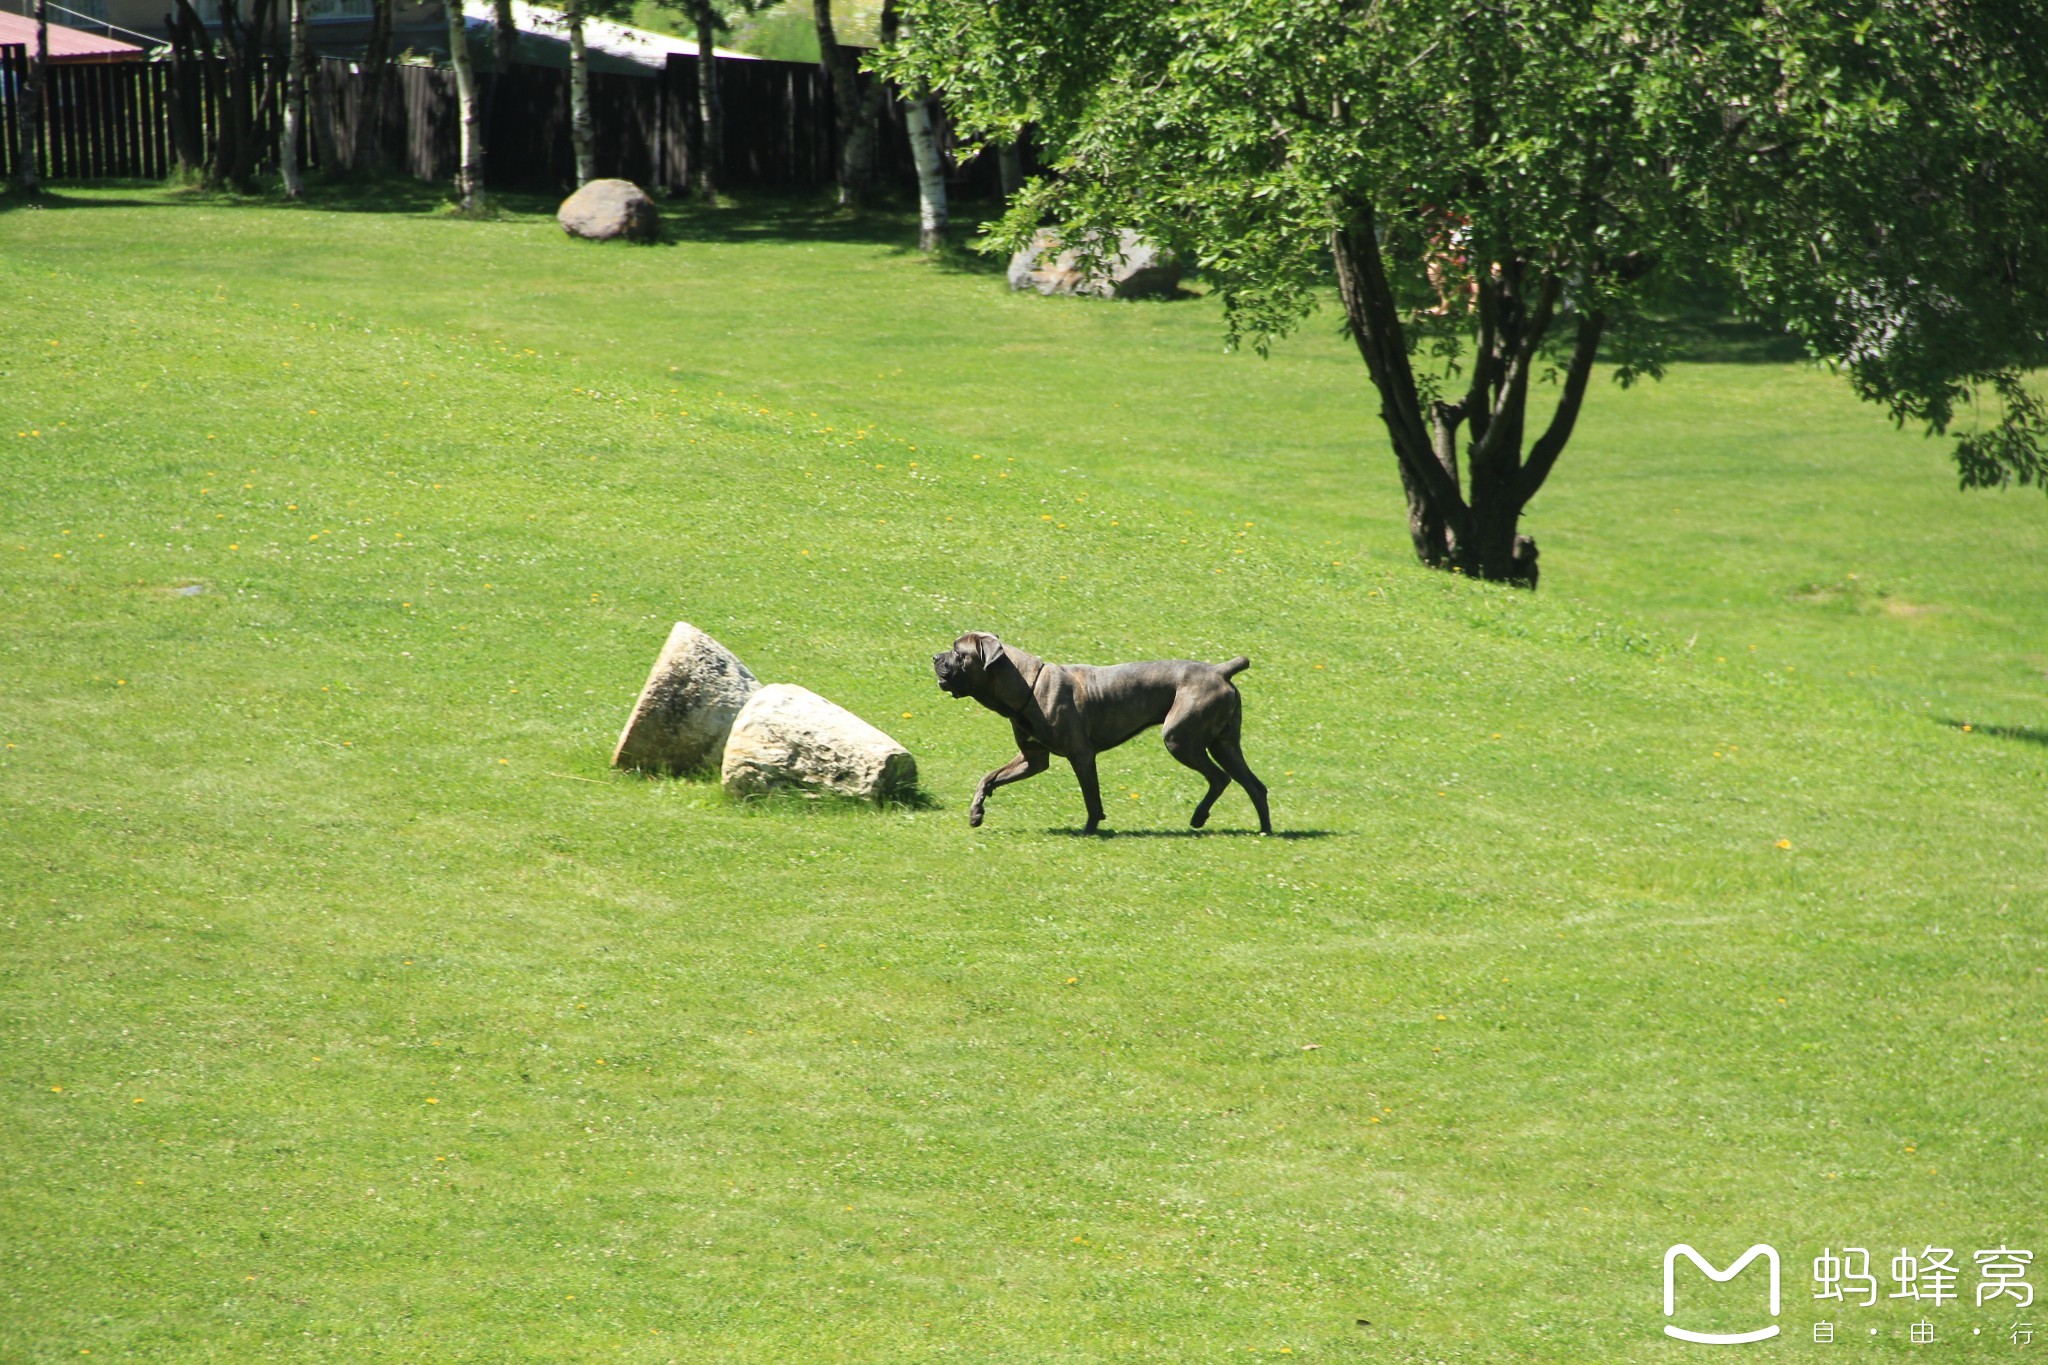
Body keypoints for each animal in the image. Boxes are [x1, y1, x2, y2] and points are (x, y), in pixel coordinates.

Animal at [937, 634, 1269, 839]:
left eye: (958, 652)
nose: (935, 656)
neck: (1027, 685)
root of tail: (1220, 671)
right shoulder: (1033, 759)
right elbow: (988, 778)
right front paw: (976, 812)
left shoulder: (1081, 756)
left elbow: (1091, 797)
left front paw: (1090, 828)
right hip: (1223, 744)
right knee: (1255, 786)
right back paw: (1265, 830)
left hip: (1180, 739)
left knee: (1220, 778)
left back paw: (1199, 817)